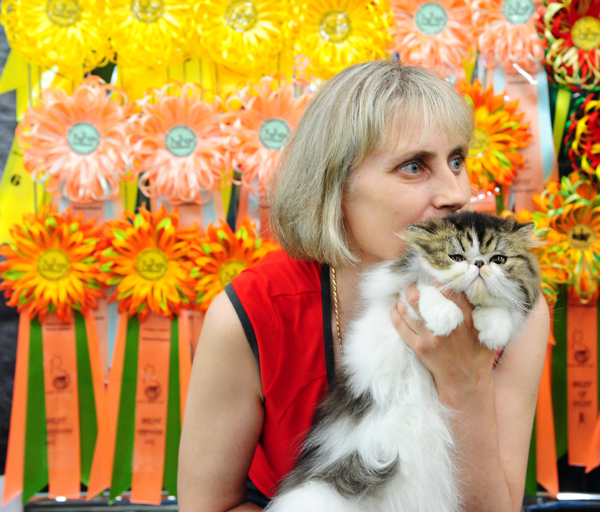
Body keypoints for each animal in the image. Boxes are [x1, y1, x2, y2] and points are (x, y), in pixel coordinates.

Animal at [265, 211, 541, 512]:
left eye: (499, 259)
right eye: (456, 257)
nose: (479, 263)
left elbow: (500, 307)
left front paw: (492, 330)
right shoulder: (397, 295)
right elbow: (423, 287)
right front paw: (446, 318)